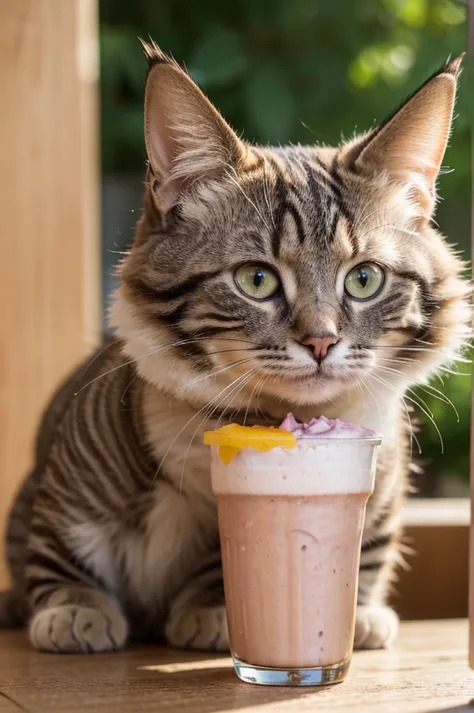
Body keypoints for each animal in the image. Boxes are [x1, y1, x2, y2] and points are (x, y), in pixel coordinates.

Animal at [0, 44, 468, 652]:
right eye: (256, 280)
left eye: (364, 279)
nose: (321, 340)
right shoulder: (73, 469)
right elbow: (60, 544)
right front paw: (75, 606)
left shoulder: (378, 469)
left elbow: (232, 562)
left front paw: (214, 609)